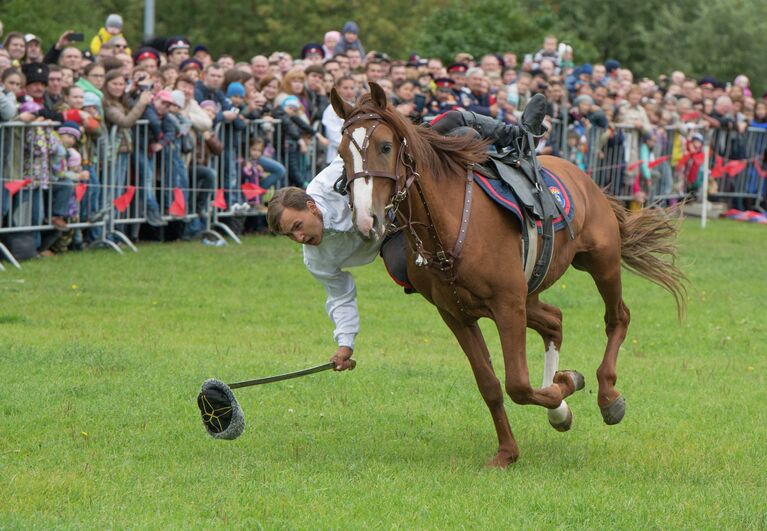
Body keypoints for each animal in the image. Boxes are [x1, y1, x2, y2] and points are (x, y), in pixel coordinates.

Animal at [332, 82, 688, 466]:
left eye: (385, 146)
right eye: (341, 153)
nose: (366, 218)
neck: (451, 226)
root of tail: (586, 179)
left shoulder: (508, 306)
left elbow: (517, 383)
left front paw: (566, 385)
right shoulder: (457, 315)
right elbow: (490, 384)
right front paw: (509, 449)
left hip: (601, 261)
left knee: (617, 317)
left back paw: (607, 396)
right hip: (531, 290)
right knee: (555, 320)